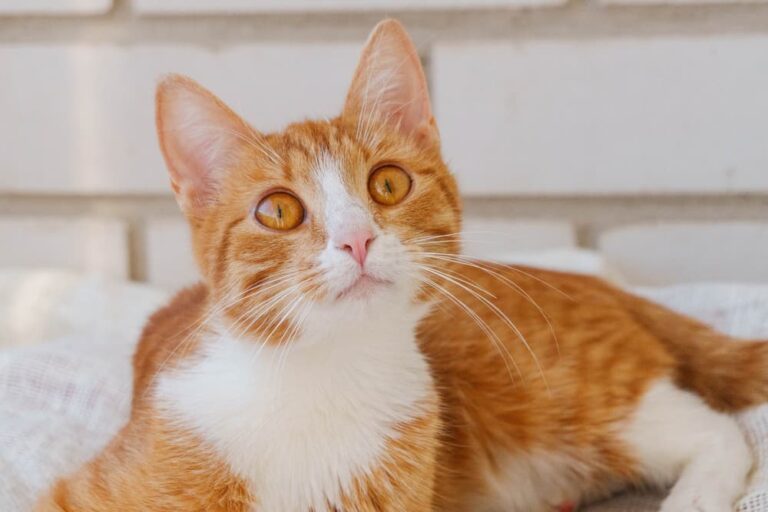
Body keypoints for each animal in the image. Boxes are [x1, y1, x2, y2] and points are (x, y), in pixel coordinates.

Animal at [39, 18, 768, 510]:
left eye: (387, 184)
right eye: (278, 211)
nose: (357, 239)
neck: (319, 381)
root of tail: (598, 283)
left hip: (573, 391)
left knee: (718, 429)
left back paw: (694, 494)